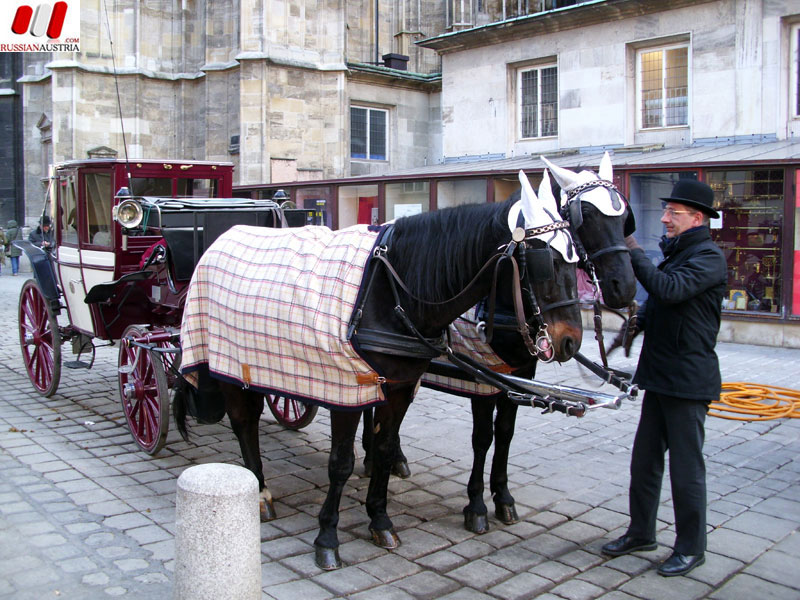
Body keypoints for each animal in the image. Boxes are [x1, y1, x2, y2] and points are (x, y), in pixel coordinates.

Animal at [173, 177, 580, 568]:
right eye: (546, 262)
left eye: (577, 258)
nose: (570, 341)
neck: (393, 290)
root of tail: (220, 239)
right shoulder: (345, 389)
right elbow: (340, 464)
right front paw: (327, 538)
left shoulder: (398, 388)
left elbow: (385, 449)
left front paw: (380, 519)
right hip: (227, 362)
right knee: (245, 423)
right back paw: (258, 491)